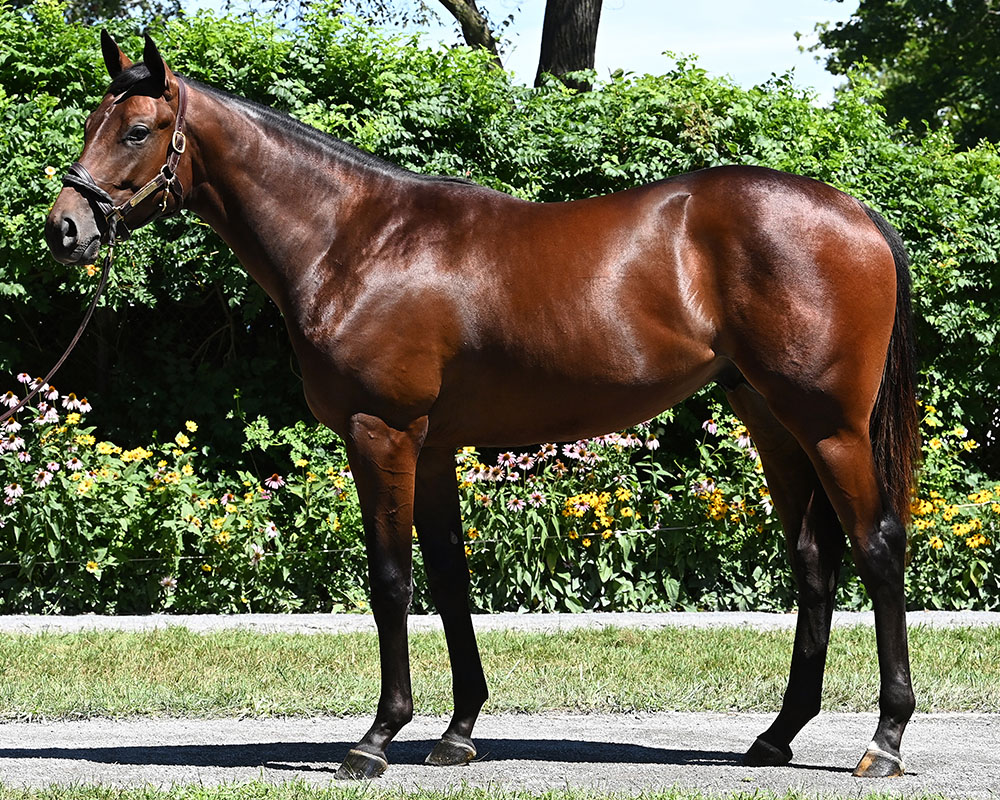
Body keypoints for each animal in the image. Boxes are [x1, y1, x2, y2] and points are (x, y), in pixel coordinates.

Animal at [48, 34, 920, 780]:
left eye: (137, 129)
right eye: (93, 123)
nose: (64, 228)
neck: (356, 241)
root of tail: (858, 214)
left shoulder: (383, 435)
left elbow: (392, 581)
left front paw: (376, 738)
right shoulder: (432, 448)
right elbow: (450, 579)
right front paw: (458, 730)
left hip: (830, 426)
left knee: (876, 549)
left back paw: (884, 740)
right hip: (771, 420)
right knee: (814, 562)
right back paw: (777, 735)